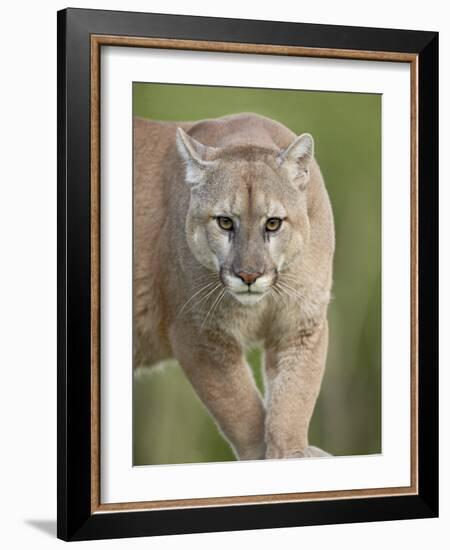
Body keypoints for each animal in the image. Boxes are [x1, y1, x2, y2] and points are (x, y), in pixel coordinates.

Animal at [134, 112, 334, 462]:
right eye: (225, 222)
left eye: (273, 223)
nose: (249, 275)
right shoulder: (199, 335)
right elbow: (241, 408)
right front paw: (262, 456)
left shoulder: (302, 325)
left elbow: (294, 396)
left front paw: (291, 452)